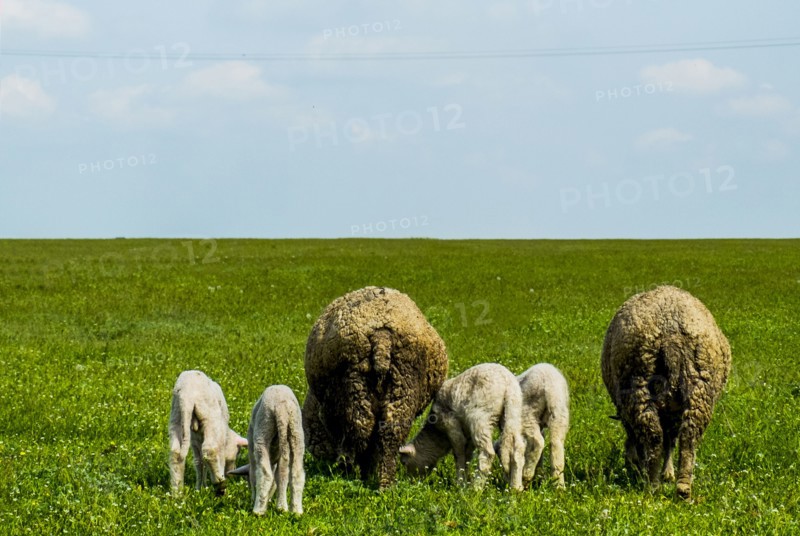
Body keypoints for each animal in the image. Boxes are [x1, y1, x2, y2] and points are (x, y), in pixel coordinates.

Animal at [228, 385, 305, 515]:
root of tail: (282, 408)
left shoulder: (252, 452)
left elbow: (255, 475)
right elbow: (279, 476)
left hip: (263, 430)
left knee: (266, 474)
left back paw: (258, 511)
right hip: (297, 433)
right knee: (295, 474)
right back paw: (295, 511)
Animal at [302, 286, 448, 489]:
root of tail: (382, 335)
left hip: (354, 385)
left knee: (361, 432)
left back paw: (355, 475)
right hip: (403, 384)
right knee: (389, 434)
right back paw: (385, 483)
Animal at [399, 363, 525, 491]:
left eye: (404, 463)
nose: (412, 482)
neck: (438, 436)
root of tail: (507, 384)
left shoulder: (451, 425)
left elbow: (458, 453)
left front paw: (461, 484)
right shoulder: (467, 434)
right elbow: (468, 455)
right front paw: (466, 480)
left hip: (480, 416)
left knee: (487, 453)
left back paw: (476, 488)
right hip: (513, 413)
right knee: (518, 448)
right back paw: (516, 487)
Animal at [601, 285, 731, 499]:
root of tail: (672, 336)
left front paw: (640, 467)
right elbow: (671, 440)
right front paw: (668, 473)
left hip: (637, 386)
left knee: (654, 436)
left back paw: (652, 485)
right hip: (699, 390)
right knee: (687, 438)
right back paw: (683, 488)